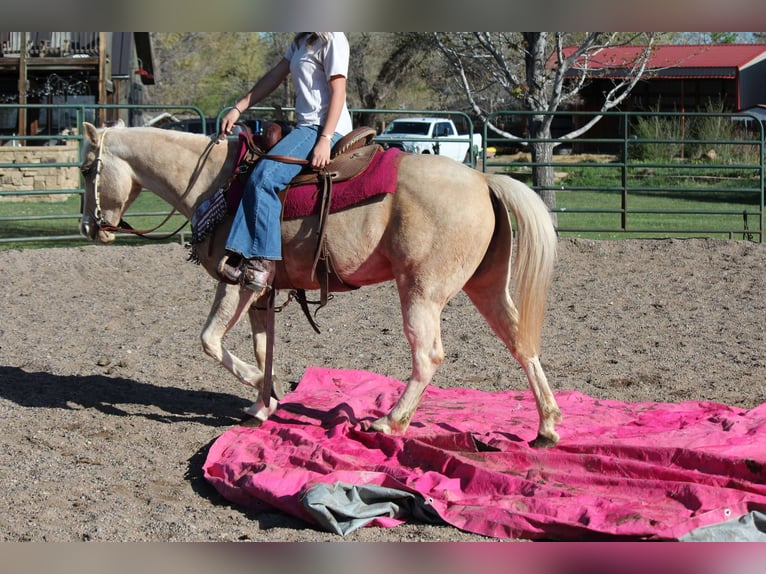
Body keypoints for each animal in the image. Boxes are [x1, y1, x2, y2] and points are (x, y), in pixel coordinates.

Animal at [78, 121, 562, 447]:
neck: (218, 182)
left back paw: (389, 422)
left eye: (85, 169)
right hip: (486, 286)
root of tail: (483, 179)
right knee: (521, 342)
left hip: (421, 292)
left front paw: (263, 387)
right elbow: (262, 346)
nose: (89, 227)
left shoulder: (235, 282)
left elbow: (211, 341)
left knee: (428, 356)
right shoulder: (261, 288)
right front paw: (263, 402)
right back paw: (547, 426)